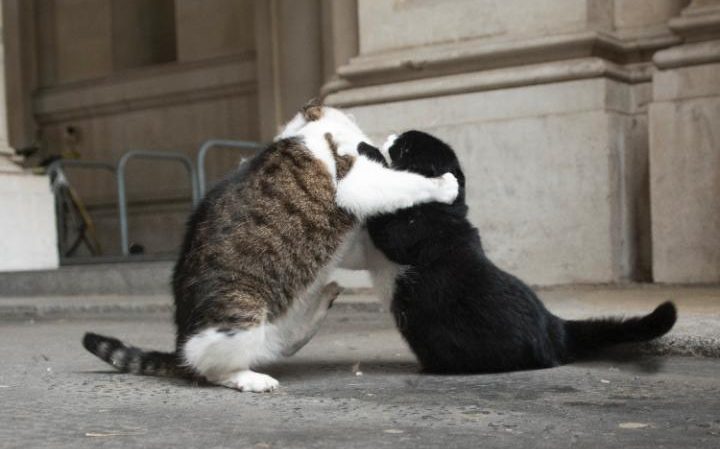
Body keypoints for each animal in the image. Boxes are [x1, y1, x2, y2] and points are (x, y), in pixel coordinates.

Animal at [82, 105, 459, 392]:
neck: (308, 131)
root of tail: (179, 346)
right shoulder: (355, 181)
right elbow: (402, 184)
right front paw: (443, 185)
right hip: (242, 310)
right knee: (211, 367)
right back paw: (249, 379)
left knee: (281, 343)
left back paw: (325, 297)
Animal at [358, 130, 677, 374]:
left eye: (404, 148)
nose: (391, 136)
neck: (439, 208)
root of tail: (557, 327)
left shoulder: (404, 232)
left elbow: (385, 210)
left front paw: (366, 150)